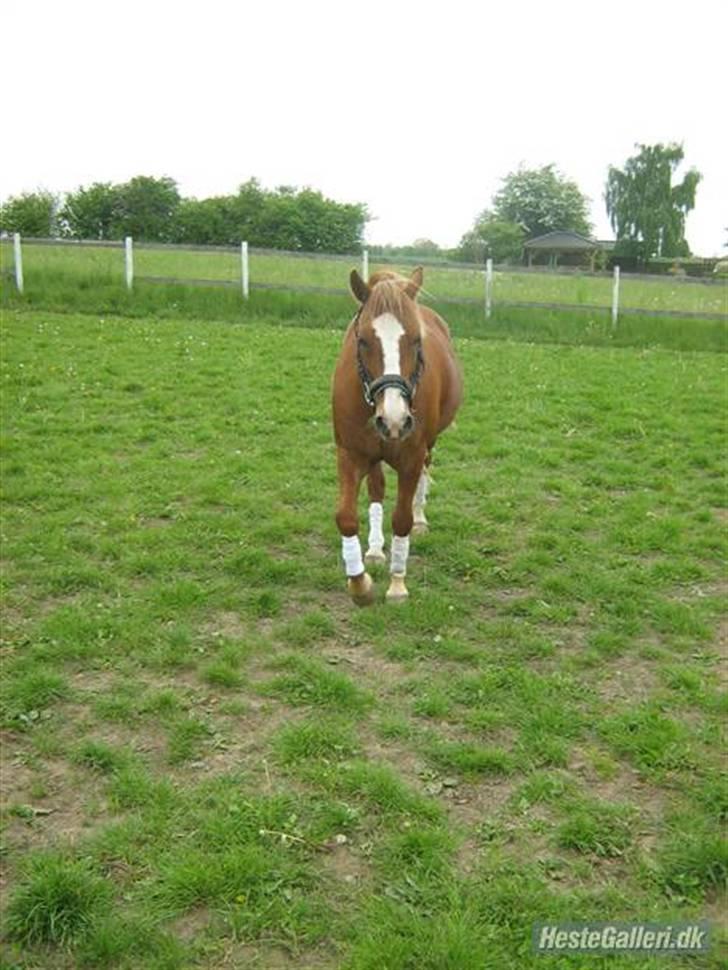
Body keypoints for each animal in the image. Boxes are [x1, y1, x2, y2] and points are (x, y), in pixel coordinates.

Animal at [330, 264, 460, 604]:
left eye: (416, 340)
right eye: (363, 340)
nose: (394, 419)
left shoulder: (411, 458)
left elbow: (402, 519)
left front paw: (398, 583)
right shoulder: (350, 454)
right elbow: (346, 517)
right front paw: (359, 584)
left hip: (429, 443)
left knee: (426, 471)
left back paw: (420, 519)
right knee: (376, 488)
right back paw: (375, 549)